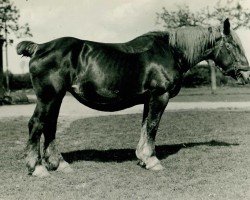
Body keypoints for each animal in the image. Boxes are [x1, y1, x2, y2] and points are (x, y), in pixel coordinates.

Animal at [17, 18, 250, 177]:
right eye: (233, 45)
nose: (246, 74)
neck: (170, 51)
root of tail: (39, 47)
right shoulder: (160, 96)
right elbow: (153, 126)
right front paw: (152, 160)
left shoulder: (149, 99)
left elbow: (145, 125)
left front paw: (143, 158)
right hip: (48, 97)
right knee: (36, 124)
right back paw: (37, 168)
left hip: (56, 98)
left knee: (50, 125)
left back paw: (59, 164)